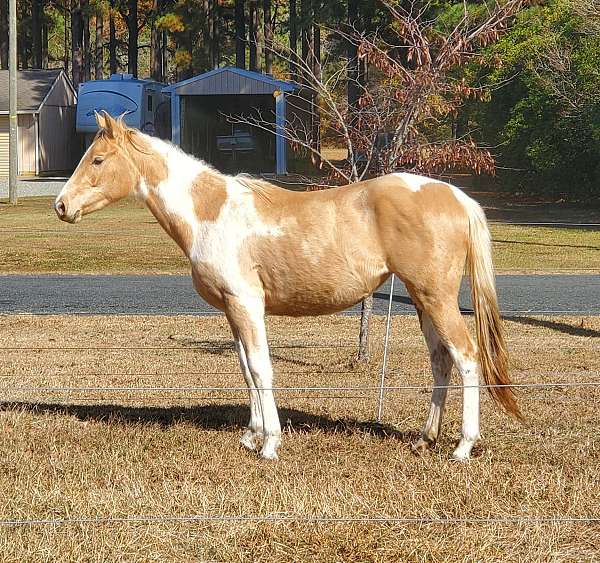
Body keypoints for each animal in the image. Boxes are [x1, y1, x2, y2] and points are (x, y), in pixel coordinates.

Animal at [57, 111, 520, 462]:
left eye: (97, 160)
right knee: (441, 361)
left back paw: (462, 447)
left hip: (437, 298)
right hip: (424, 302)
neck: (211, 212)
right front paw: (251, 435)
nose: (61, 206)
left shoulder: (246, 304)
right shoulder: (234, 310)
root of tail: (457, 196)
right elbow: (246, 369)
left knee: (467, 358)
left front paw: (270, 444)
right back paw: (425, 439)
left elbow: (263, 368)